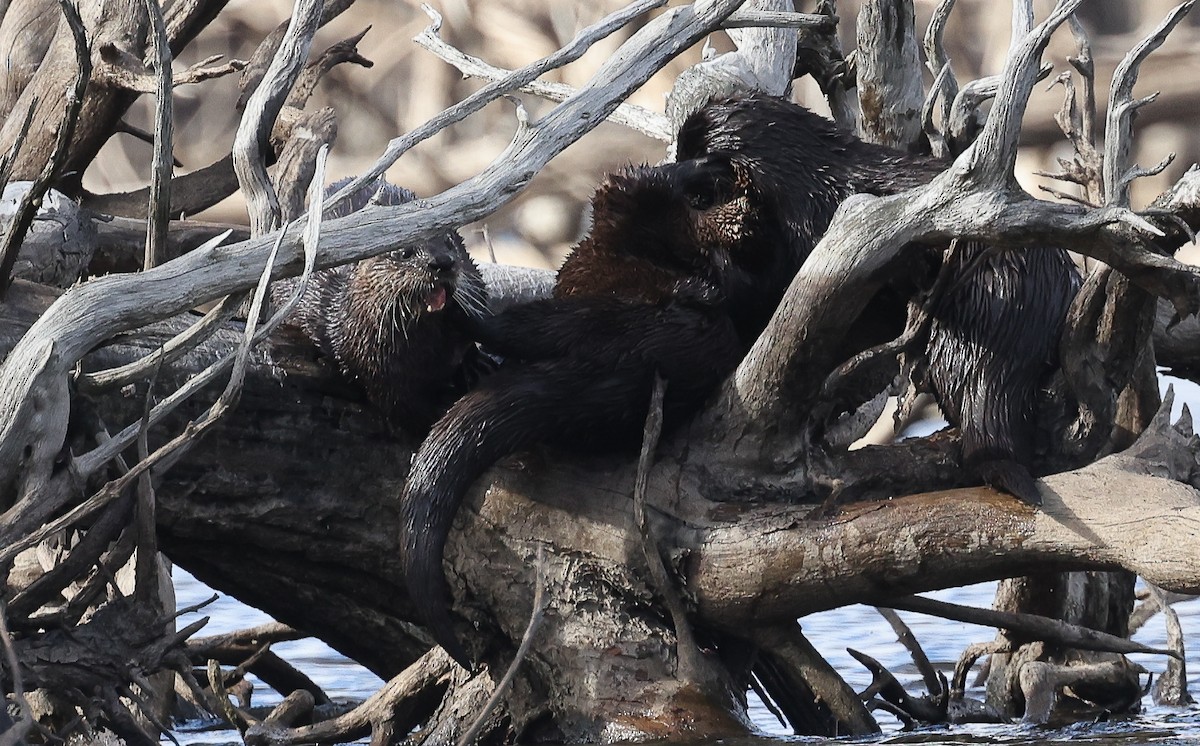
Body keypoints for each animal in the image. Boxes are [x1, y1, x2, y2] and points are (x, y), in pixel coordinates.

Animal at [273, 178, 490, 434]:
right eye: (404, 252)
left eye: (449, 242)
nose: (442, 262)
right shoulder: (373, 368)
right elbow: (399, 406)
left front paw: (474, 364)